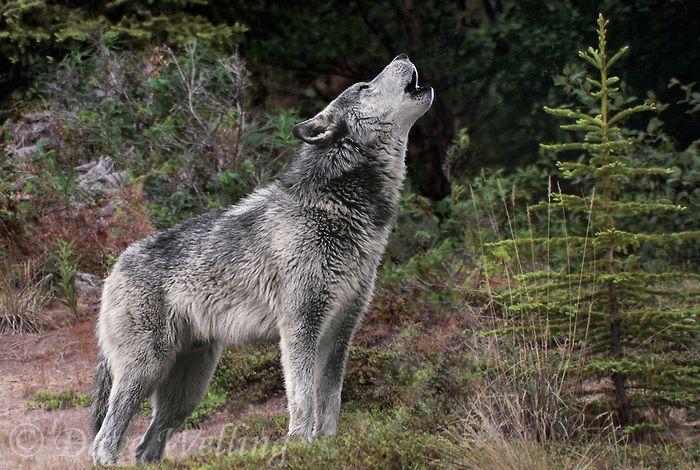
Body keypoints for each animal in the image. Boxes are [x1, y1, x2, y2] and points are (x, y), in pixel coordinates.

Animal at [90, 54, 433, 465]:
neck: (338, 207)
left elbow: (330, 401)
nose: (402, 56)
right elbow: (303, 399)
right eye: (365, 86)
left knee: (146, 446)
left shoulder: (341, 332)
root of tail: (114, 268)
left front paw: (329, 448)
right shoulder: (300, 326)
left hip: (186, 392)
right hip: (145, 371)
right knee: (104, 441)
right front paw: (300, 447)